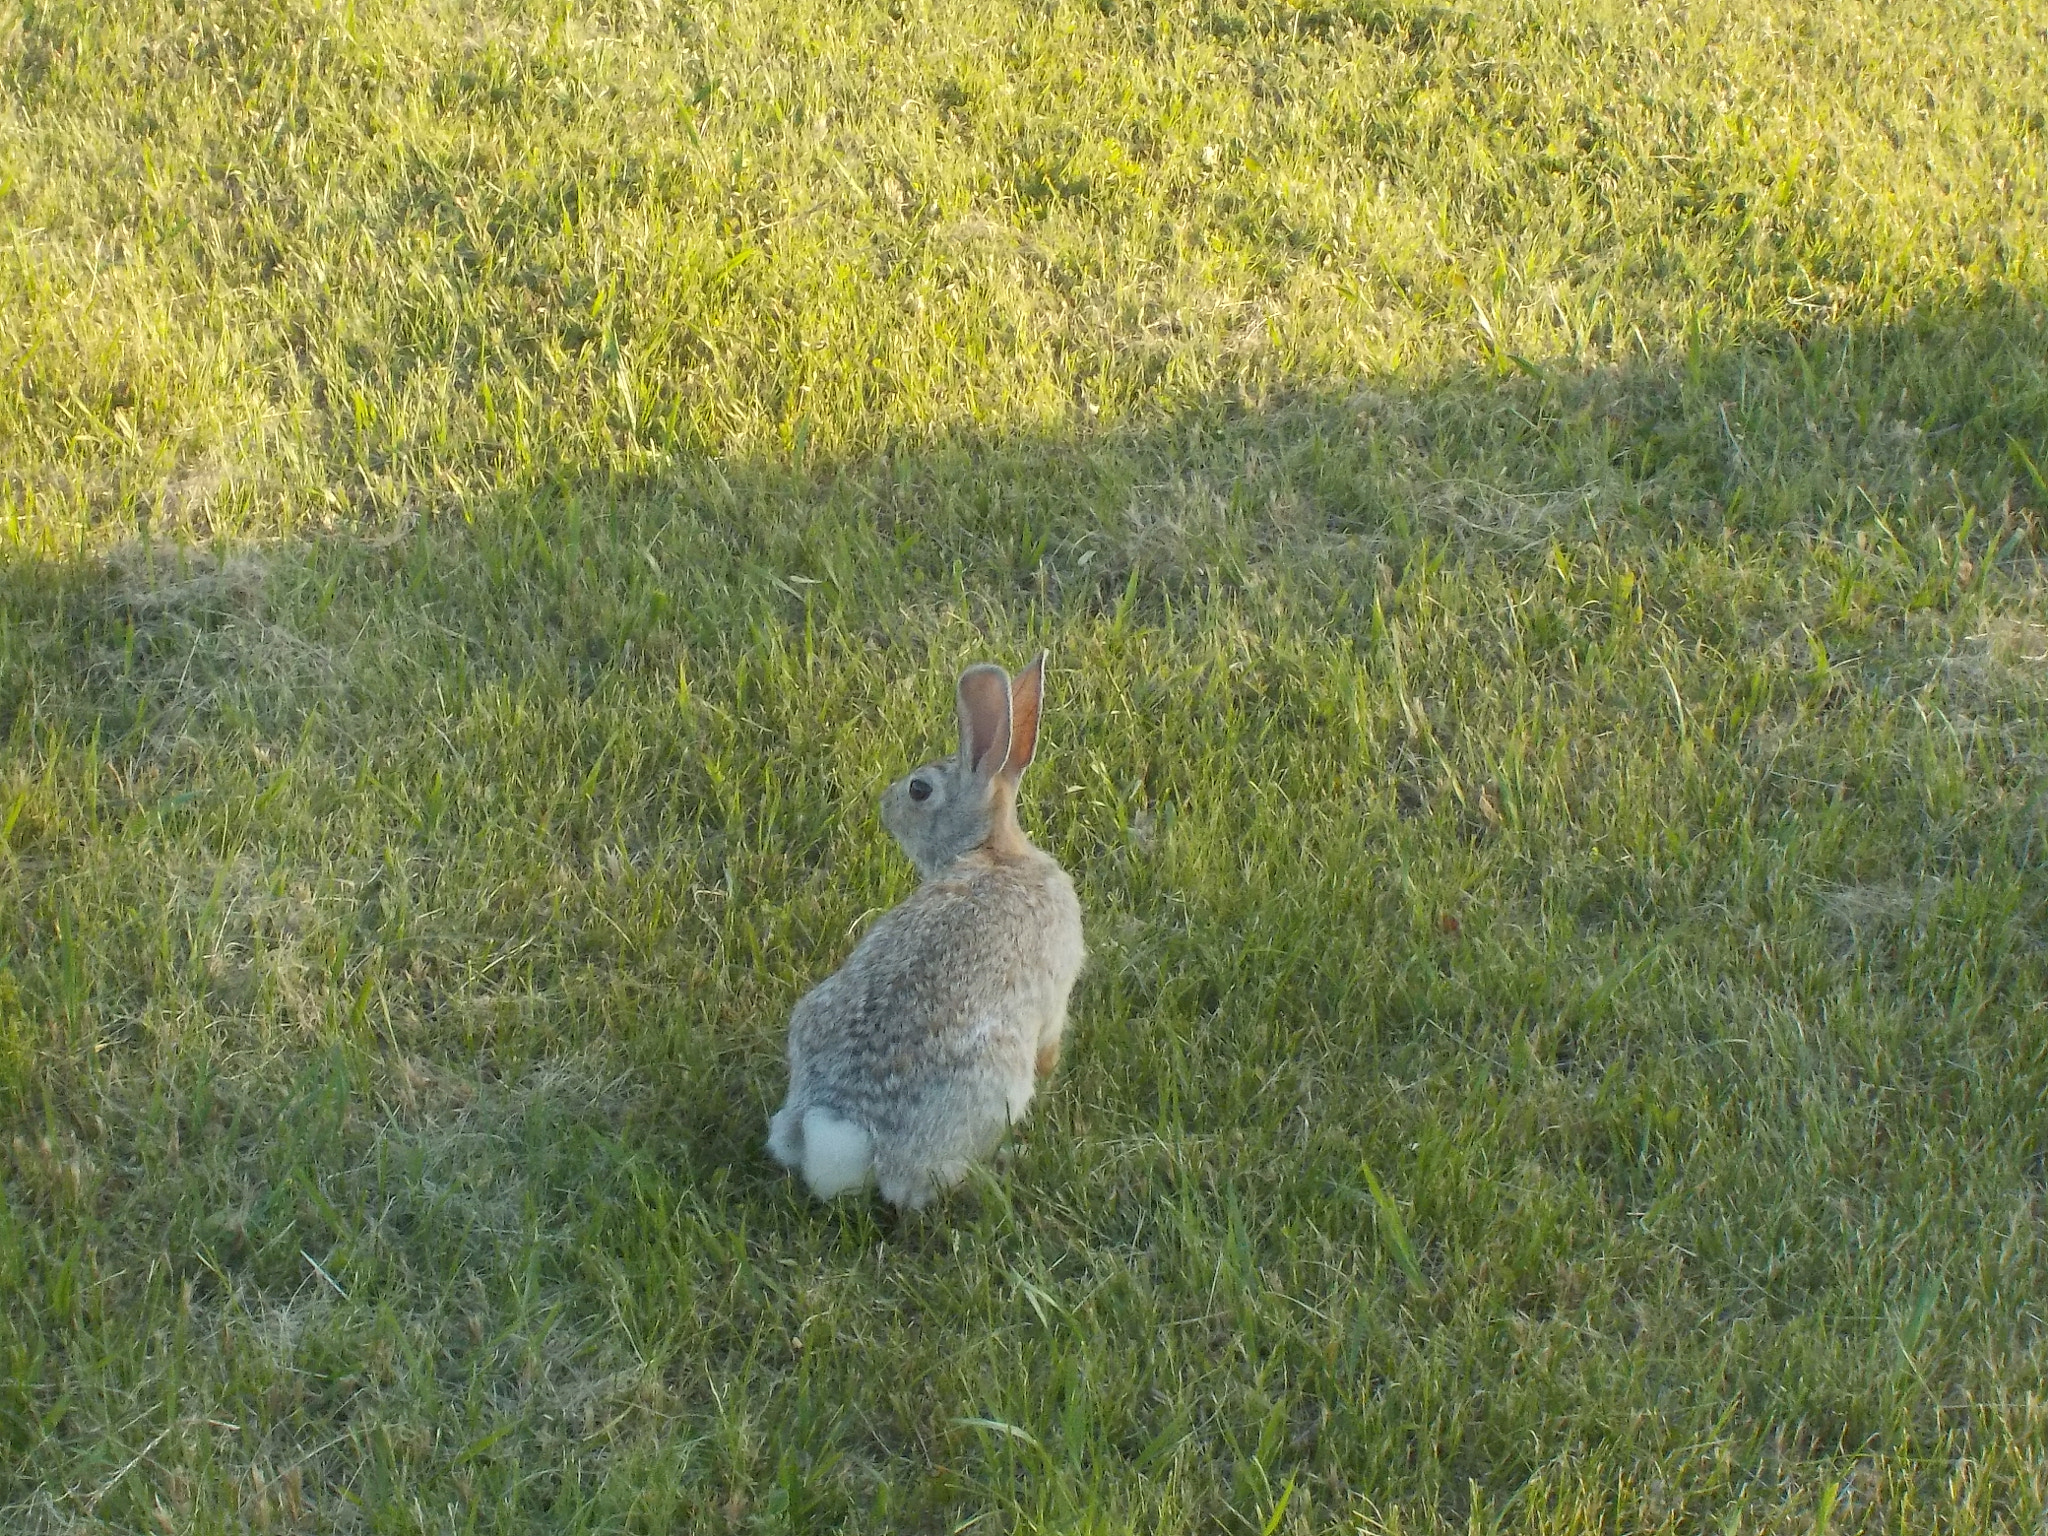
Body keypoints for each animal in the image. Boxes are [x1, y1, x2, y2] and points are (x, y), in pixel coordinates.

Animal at [770, 651, 1089, 1212]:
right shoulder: (1054, 1003)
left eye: (919, 790)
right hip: (996, 1087)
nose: (886, 804)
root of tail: (846, 1125)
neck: (991, 851)